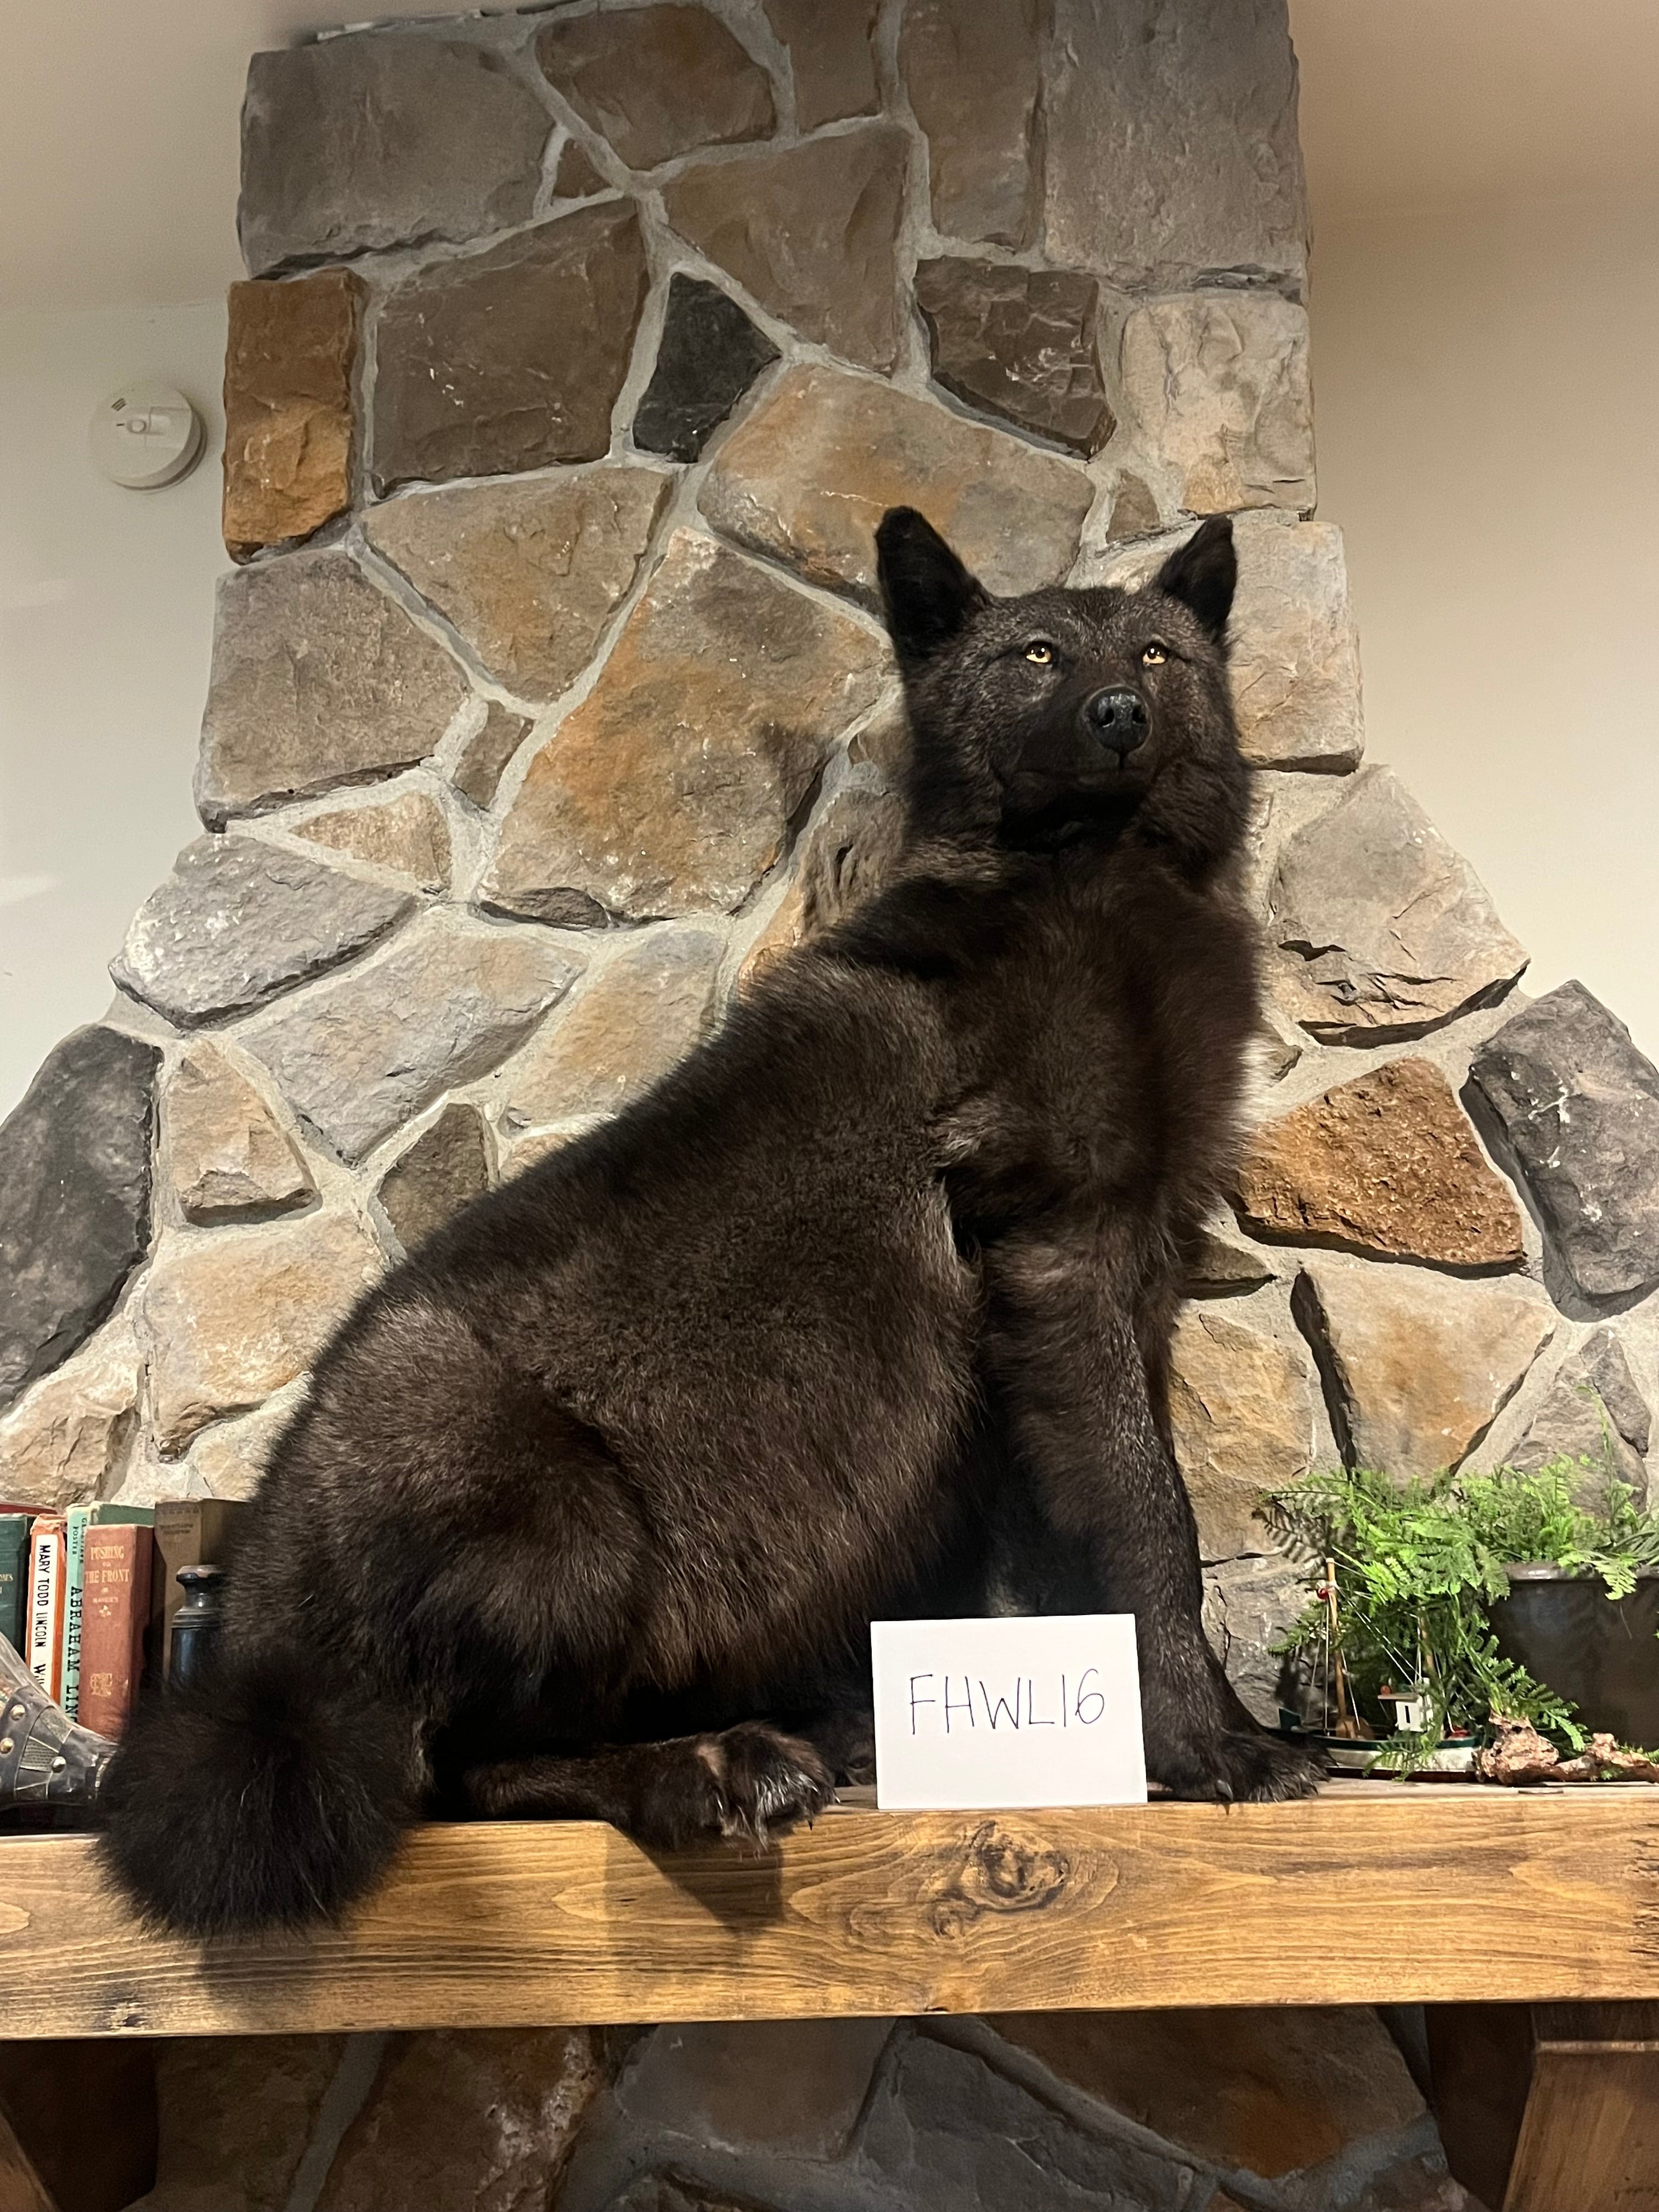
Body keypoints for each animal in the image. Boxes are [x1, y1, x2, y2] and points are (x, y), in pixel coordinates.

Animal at [100, 509, 1318, 1937]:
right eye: (1035, 657)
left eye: (1154, 654)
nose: (1121, 714)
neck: (1093, 890)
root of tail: (263, 1630)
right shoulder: (1066, 1255)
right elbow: (1153, 1524)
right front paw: (1208, 1745)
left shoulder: (1125, 1285)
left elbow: (1089, 1530)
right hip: (567, 1524)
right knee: (454, 1774)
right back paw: (712, 1766)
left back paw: (817, 1736)